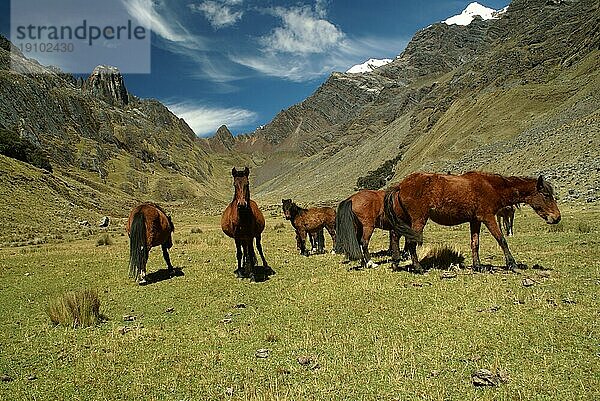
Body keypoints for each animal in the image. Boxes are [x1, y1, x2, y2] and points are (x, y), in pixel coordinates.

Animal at [384, 171, 564, 272]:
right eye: (546, 195)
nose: (557, 218)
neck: (492, 187)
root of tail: (401, 185)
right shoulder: (488, 218)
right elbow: (501, 240)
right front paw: (512, 264)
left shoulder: (475, 221)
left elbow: (475, 243)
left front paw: (478, 266)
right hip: (418, 220)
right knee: (410, 242)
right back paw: (418, 268)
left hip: (405, 220)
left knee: (395, 236)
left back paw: (395, 263)